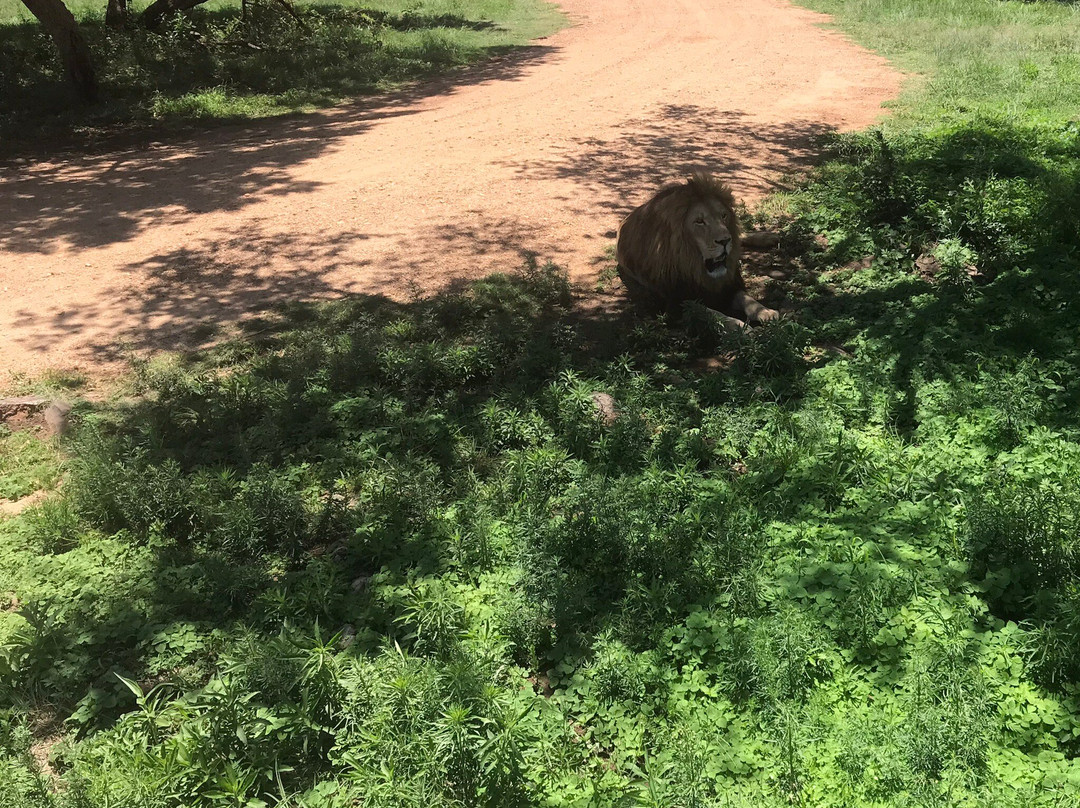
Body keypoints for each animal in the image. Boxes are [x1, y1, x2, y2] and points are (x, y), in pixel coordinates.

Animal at [616, 173, 779, 330]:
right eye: (699, 221)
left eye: (723, 216)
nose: (725, 241)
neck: (695, 267)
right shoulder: (675, 304)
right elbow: (709, 312)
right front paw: (739, 326)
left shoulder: (729, 286)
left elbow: (747, 299)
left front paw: (766, 312)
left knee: (740, 236)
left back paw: (767, 237)